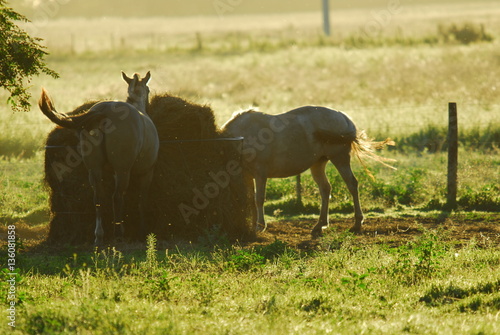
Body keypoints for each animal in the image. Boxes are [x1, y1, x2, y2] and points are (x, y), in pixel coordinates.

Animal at [39, 71, 160, 247]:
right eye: (149, 89)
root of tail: (104, 112)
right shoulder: (146, 172)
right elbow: (142, 201)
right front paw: (143, 232)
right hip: (122, 170)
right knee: (116, 198)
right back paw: (118, 235)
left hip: (94, 169)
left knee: (98, 198)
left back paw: (99, 236)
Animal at [224, 106, 394, 238]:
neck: (243, 136)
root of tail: (343, 117)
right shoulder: (248, 175)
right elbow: (250, 199)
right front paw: (253, 225)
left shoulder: (260, 174)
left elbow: (259, 199)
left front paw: (260, 226)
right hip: (318, 164)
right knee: (325, 189)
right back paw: (320, 225)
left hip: (339, 158)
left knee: (352, 185)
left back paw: (357, 223)